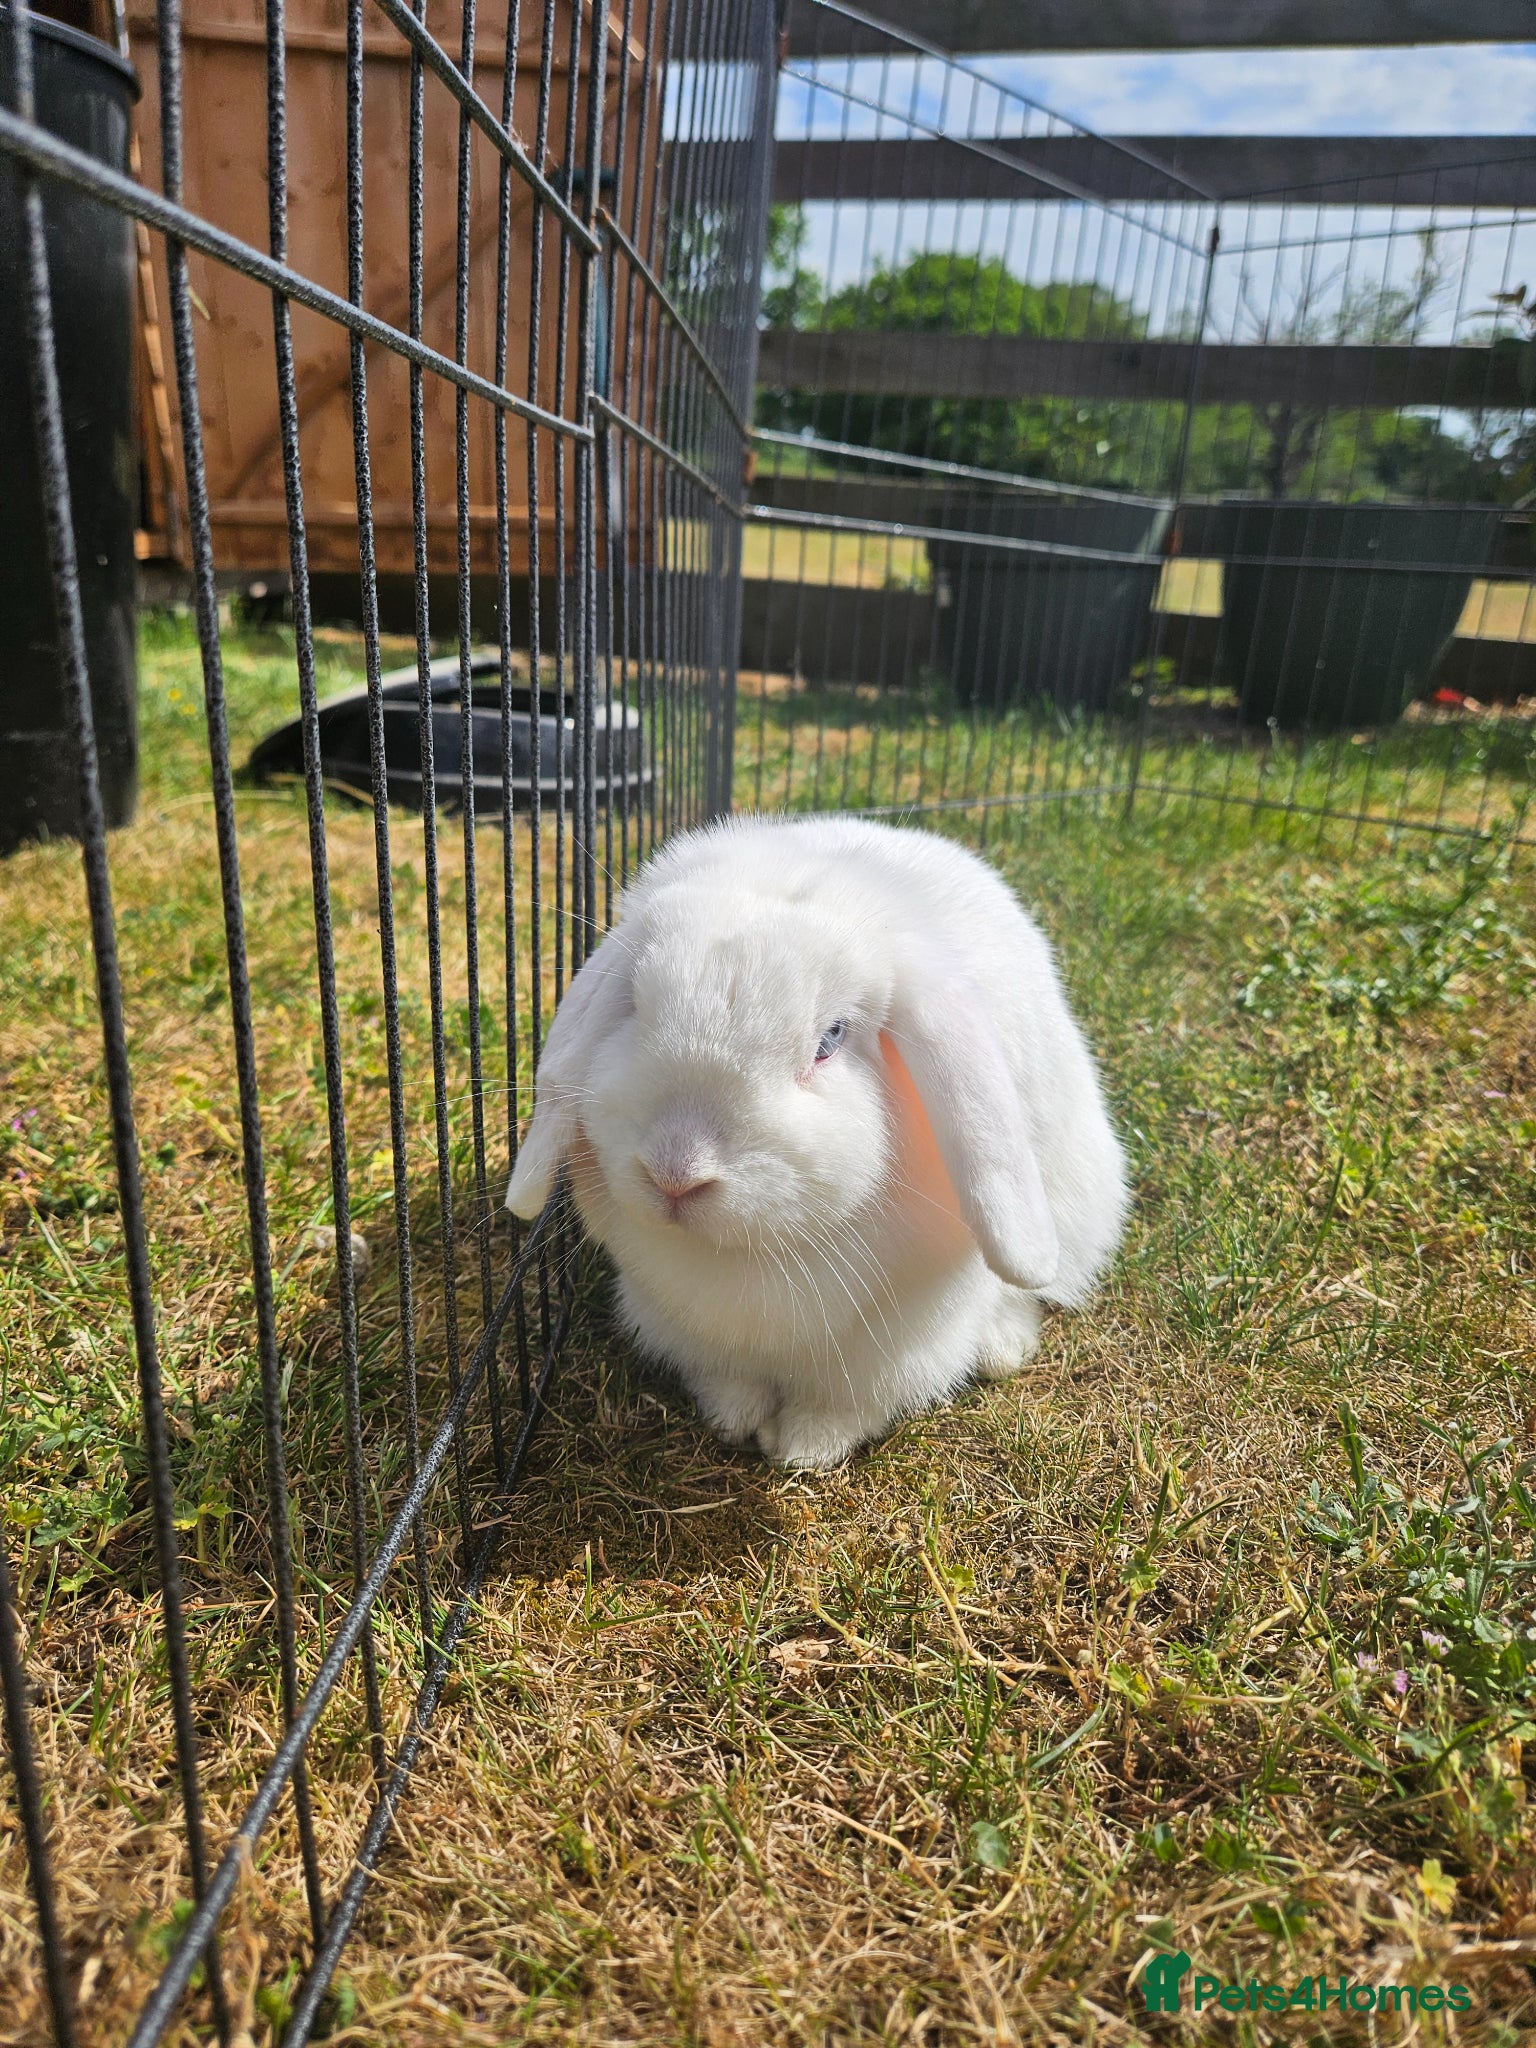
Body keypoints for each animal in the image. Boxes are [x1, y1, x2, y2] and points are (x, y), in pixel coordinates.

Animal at [506, 814, 1128, 1468]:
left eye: (830, 1040)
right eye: (635, 1005)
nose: (675, 1175)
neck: (748, 1258)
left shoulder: (895, 1344)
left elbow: (846, 1405)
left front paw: (803, 1449)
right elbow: (729, 1379)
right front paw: (732, 1418)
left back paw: (1002, 1346)